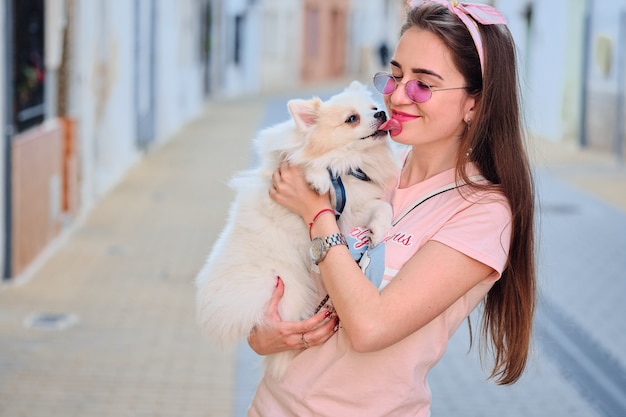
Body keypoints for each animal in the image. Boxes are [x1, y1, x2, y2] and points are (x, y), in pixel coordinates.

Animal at [196, 79, 394, 378]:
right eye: (352, 119)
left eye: (373, 108)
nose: (382, 113)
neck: (349, 165)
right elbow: (309, 164)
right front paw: (318, 178)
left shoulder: (356, 208)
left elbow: (383, 208)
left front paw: (379, 229)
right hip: (286, 287)